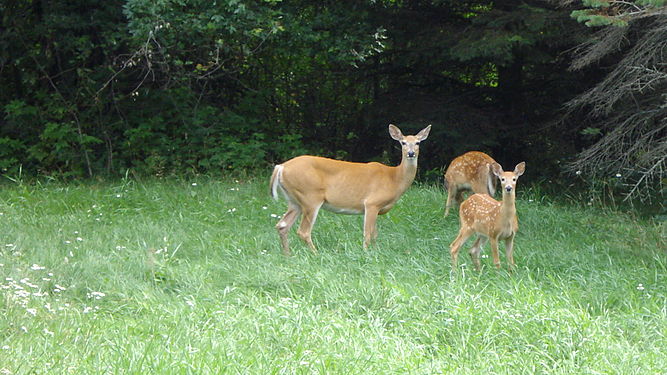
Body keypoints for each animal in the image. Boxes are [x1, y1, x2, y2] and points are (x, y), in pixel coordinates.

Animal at [272, 125, 434, 258]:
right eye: (403, 142)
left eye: (418, 142)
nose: (411, 153)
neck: (394, 178)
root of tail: (281, 167)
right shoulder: (372, 203)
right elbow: (367, 234)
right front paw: (366, 253)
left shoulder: (377, 208)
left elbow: (374, 234)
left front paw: (376, 252)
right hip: (310, 197)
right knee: (303, 231)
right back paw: (316, 254)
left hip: (294, 200)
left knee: (282, 225)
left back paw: (288, 255)